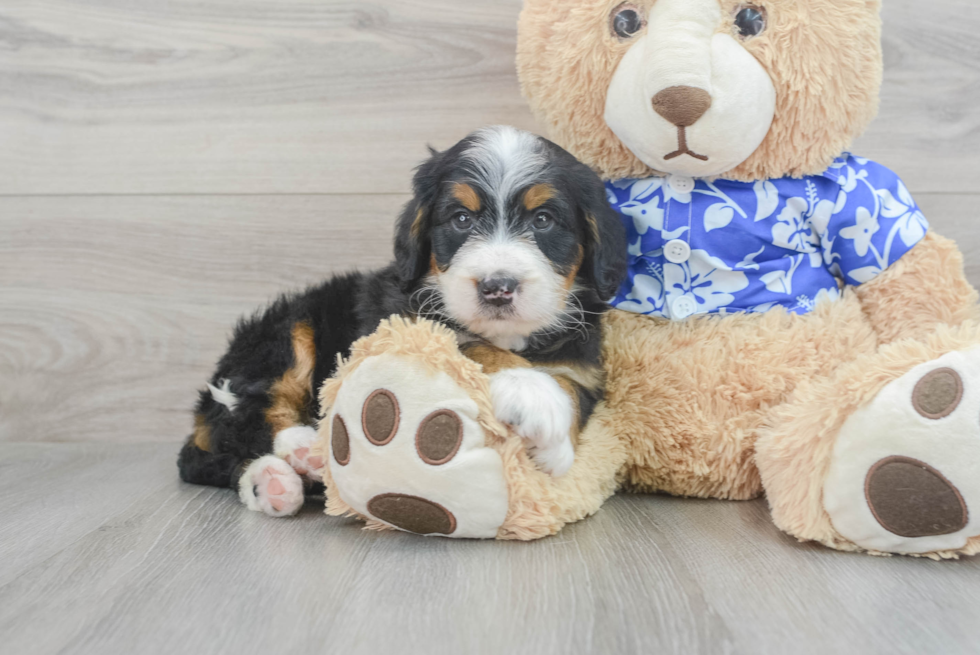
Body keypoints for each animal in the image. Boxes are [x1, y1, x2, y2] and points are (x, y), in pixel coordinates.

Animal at [178, 127, 628, 516]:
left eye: (543, 220)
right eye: (461, 219)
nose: (497, 287)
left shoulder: (584, 365)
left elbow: (570, 386)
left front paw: (555, 443)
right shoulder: (398, 324)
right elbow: (466, 342)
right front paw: (530, 391)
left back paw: (277, 481)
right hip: (287, 330)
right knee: (242, 413)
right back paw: (299, 449)